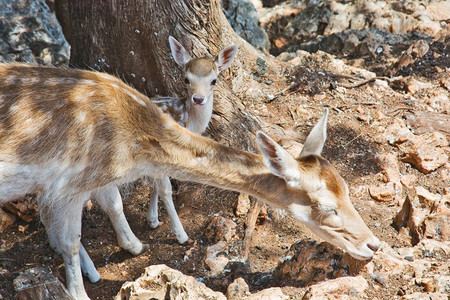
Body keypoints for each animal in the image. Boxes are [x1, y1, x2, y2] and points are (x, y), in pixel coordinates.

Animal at [0, 62, 380, 298]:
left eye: (347, 189)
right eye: (327, 207)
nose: (373, 245)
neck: (131, 148)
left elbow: (111, 204)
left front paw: (132, 246)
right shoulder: (69, 183)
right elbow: (70, 239)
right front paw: (80, 291)